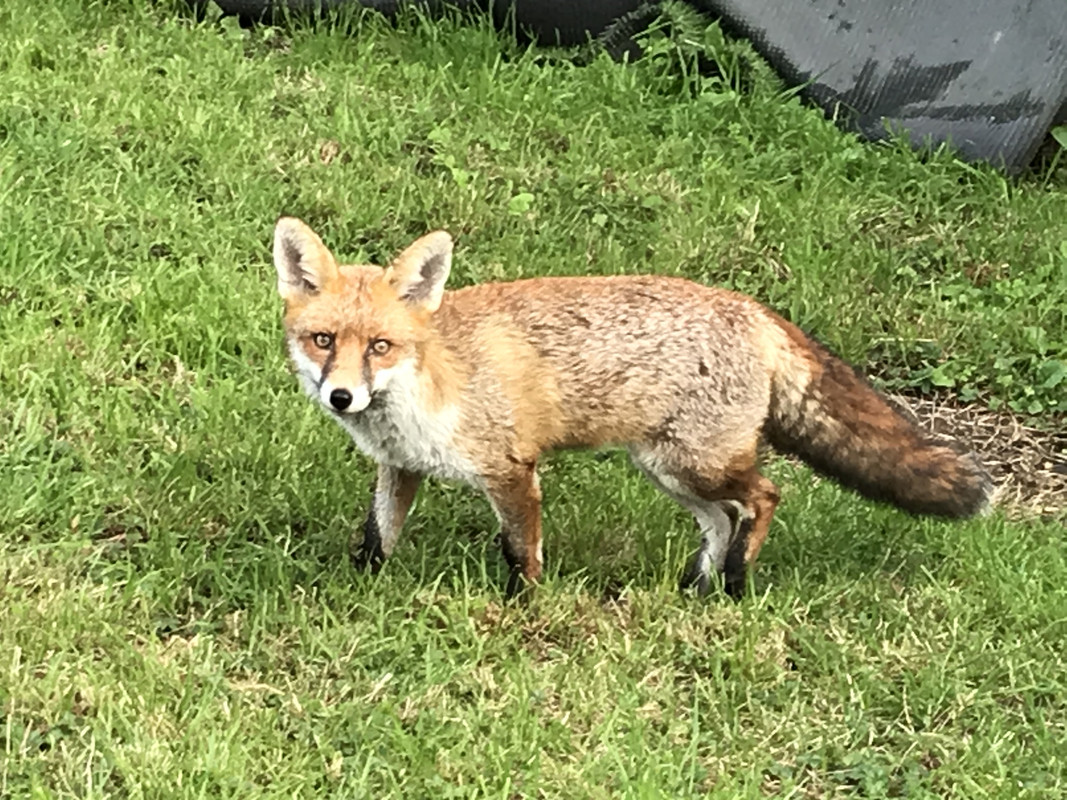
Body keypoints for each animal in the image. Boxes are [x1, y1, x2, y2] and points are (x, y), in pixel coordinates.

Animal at [272, 216, 993, 598]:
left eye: (381, 346)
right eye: (323, 340)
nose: (342, 396)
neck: (426, 389)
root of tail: (754, 309)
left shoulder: (512, 470)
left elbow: (522, 553)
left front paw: (523, 610)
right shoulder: (400, 468)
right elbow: (377, 538)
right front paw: (357, 589)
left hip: (697, 464)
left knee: (765, 497)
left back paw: (735, 584)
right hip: (668, 471)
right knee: (722, 521)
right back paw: (696, 588)